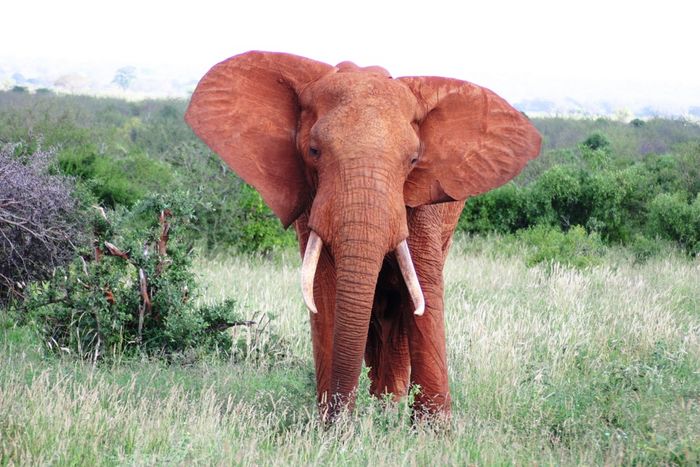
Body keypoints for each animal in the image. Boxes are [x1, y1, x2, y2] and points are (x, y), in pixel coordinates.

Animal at [185, 50, 540, 420]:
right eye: (313, 152)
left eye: (413, 160)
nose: (343, 418)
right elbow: (324, 291)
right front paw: (333, 427)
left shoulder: (419, 204)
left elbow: (423, 290)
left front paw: (433, 431)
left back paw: (389, 407)